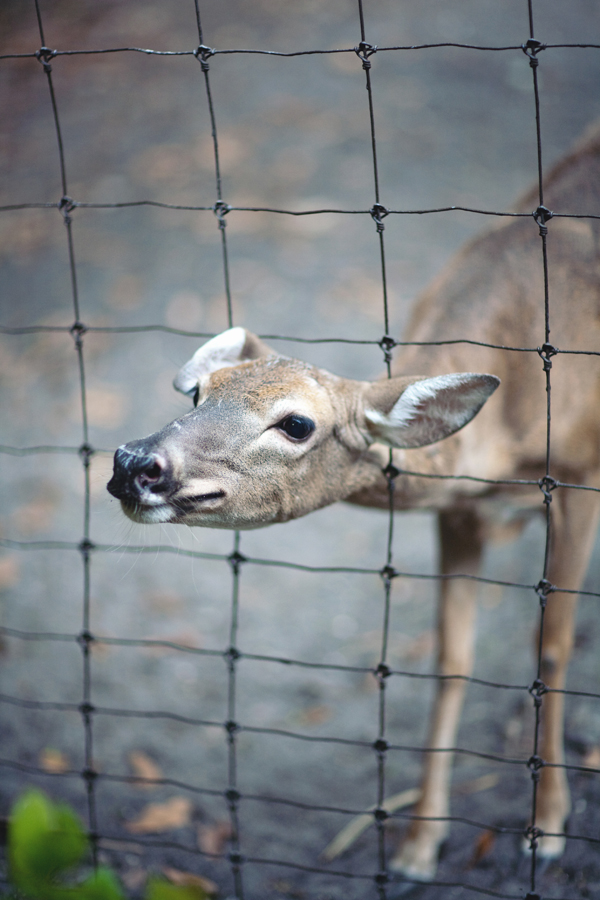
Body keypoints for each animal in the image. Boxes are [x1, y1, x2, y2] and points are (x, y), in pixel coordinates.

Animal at [106, 123, 600, 884]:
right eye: (198, 391)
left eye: (296, 423)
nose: (135, 462)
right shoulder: (460, 510)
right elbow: (451, 658)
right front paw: (420, 845)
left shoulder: (577, 474)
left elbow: (551, 647)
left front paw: (546, 826)